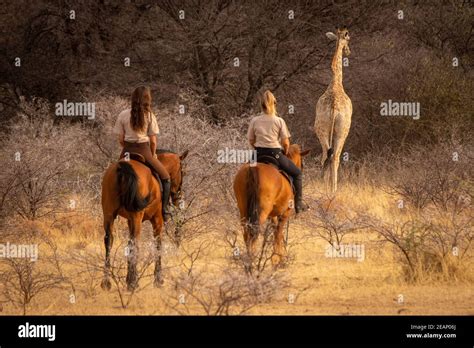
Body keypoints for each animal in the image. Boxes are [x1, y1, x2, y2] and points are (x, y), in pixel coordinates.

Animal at [101, 148, 188, 290]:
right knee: (135, 242)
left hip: (109, 215)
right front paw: (158, 279)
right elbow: (158, 245)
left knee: (109, 242)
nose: (178, 197)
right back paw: (133, 283)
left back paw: (106, 282)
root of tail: (122, 168)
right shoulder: (157, 220)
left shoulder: (129, 220)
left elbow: (128, 243)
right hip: (137, 216)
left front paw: (128, 278)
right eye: (183, 172)